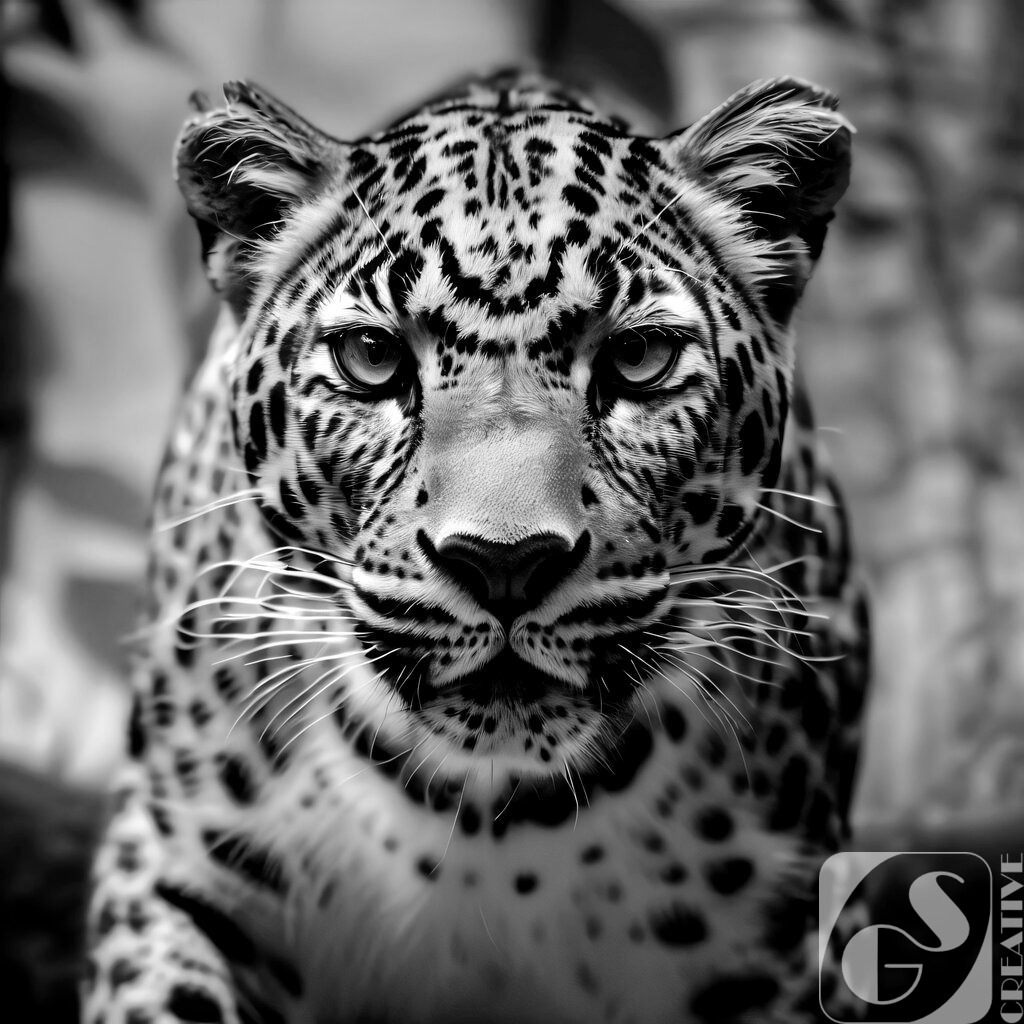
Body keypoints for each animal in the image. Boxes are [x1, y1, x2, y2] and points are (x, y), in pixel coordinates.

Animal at [82, 70, 870, 1024]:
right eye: (371, 357)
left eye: (639, 357)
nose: (505, 562)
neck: (483, 815)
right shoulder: (169, 861)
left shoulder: (782, 943)